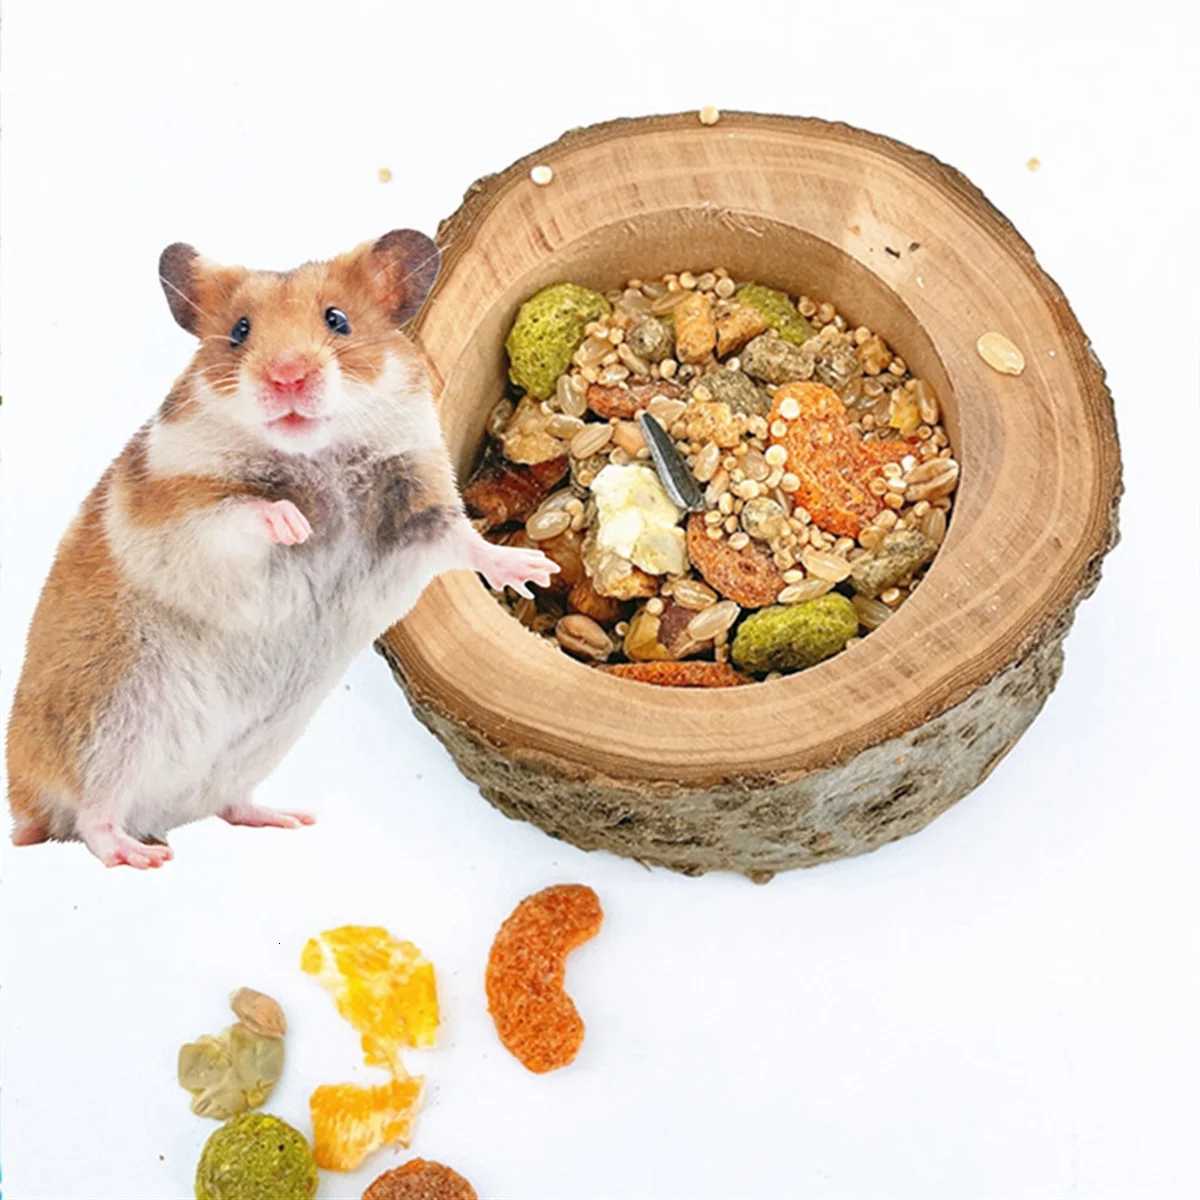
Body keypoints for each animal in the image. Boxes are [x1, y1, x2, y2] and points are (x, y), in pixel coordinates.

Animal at [6, 229, 557, 868]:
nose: (287, 376)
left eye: (338, 320)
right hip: (108, 725)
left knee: (224, 805)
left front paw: (533, 571)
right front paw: (295, 524)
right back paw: (140, 855)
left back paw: (287, 819)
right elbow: (240, 512)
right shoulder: (179, 514)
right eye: (240, 331)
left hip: (250, 749)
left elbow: (464, 540)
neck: (319, 454)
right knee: (91, 817)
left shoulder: (419, 507)